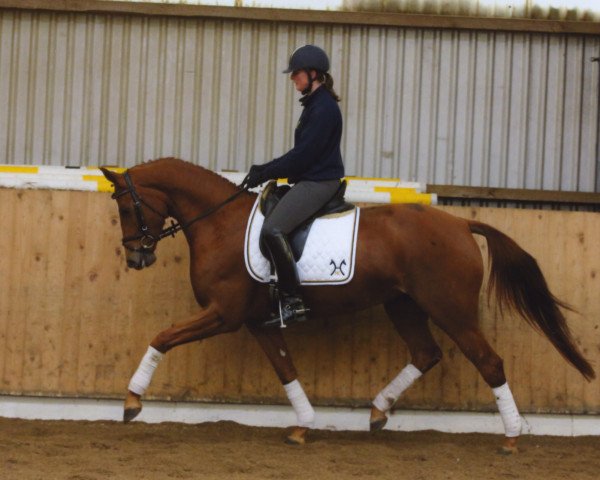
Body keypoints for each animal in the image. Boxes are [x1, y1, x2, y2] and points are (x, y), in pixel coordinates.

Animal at [101, 158, 592, 454]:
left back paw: (510, 438)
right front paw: (303, 424)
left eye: (126, 207)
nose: (136, 258)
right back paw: (377, 411)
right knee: (425, 353)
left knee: (489, 362)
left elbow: (162, 337)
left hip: (451, 309)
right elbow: (286, 369)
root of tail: (460, 223)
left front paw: (132, 401)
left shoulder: (224, 314)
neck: (220, 223)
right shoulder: (260, 322)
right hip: (404, 305)